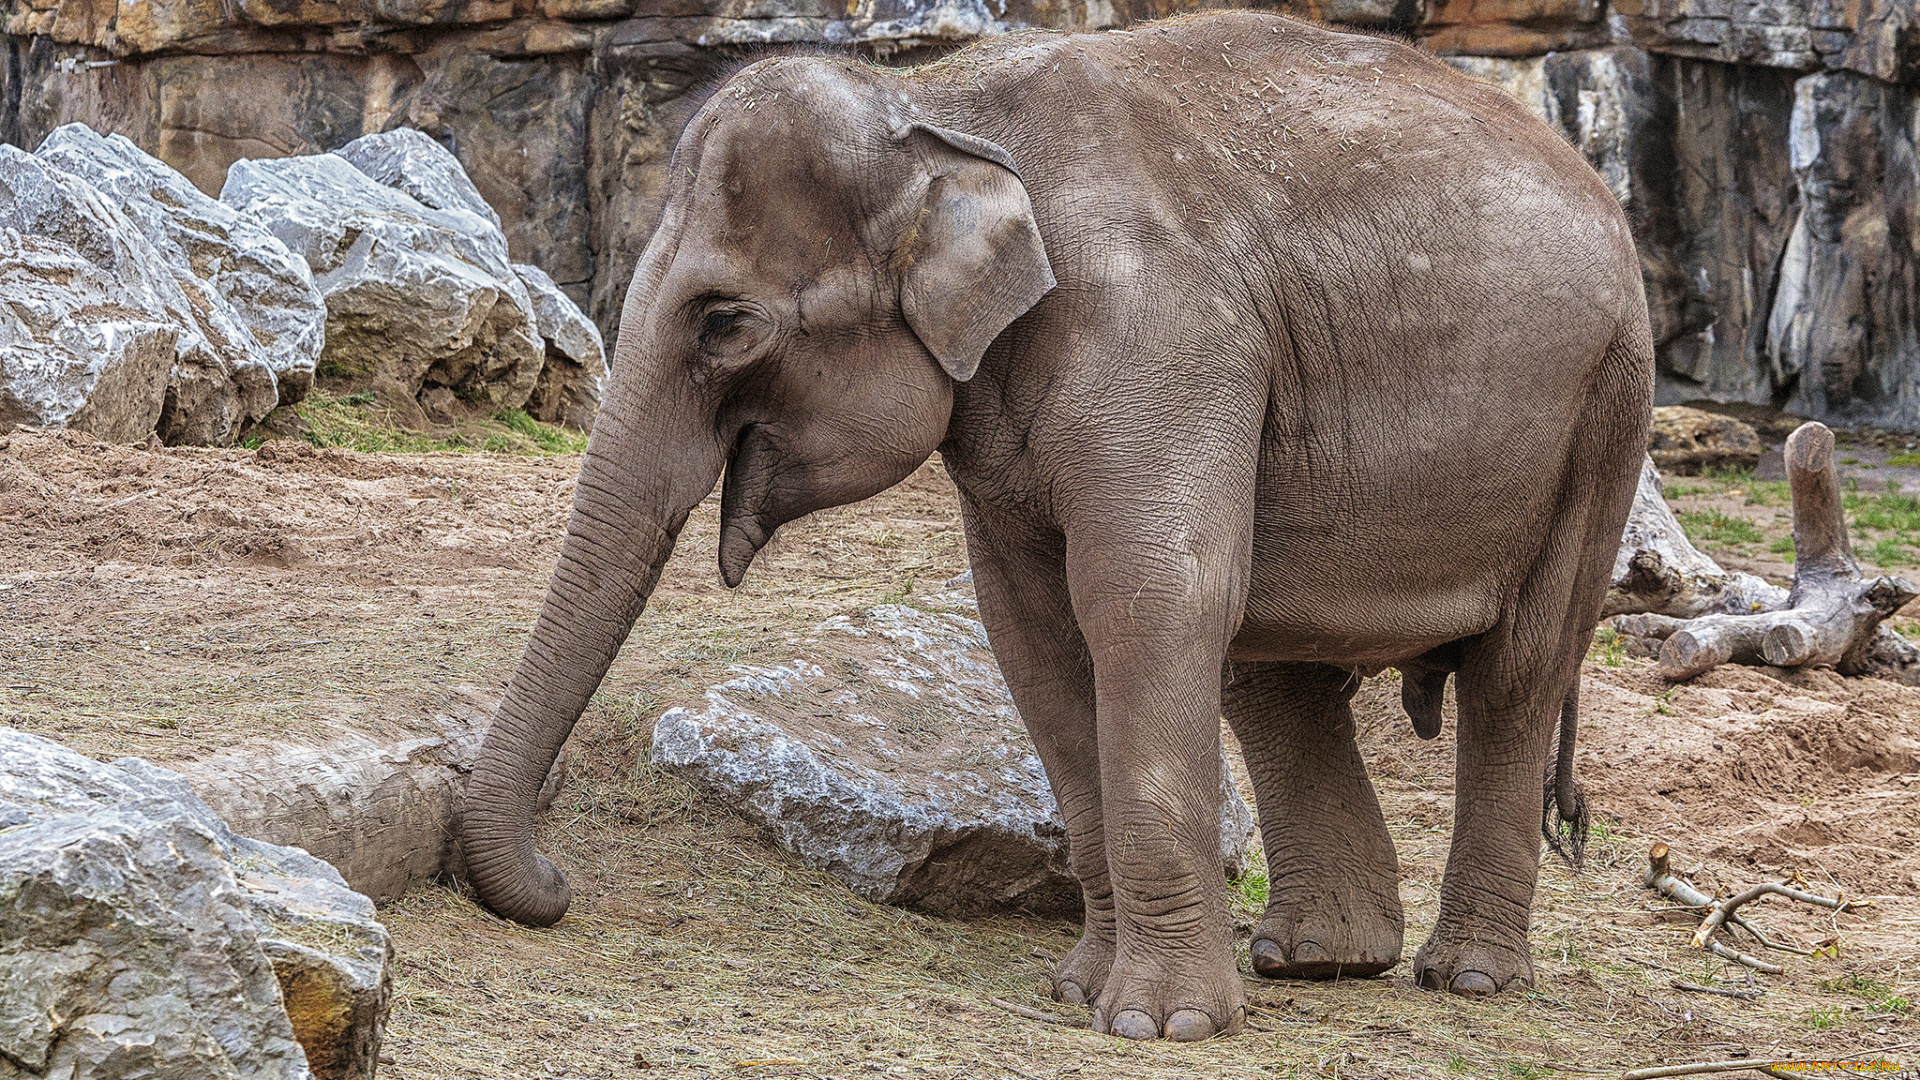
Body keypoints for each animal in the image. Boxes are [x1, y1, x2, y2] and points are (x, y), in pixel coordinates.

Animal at [460, 6, 1651, 1037]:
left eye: (724, 324)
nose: (559, 883)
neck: (939, 99)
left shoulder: (1162, 332)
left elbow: (1144, 599)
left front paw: (1158, 1025)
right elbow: (1030, 630)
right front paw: (1081, 990)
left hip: (1605, 415)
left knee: (1517, 673)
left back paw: (1470, 978)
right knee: (1274, 674)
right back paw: (1317, 960)